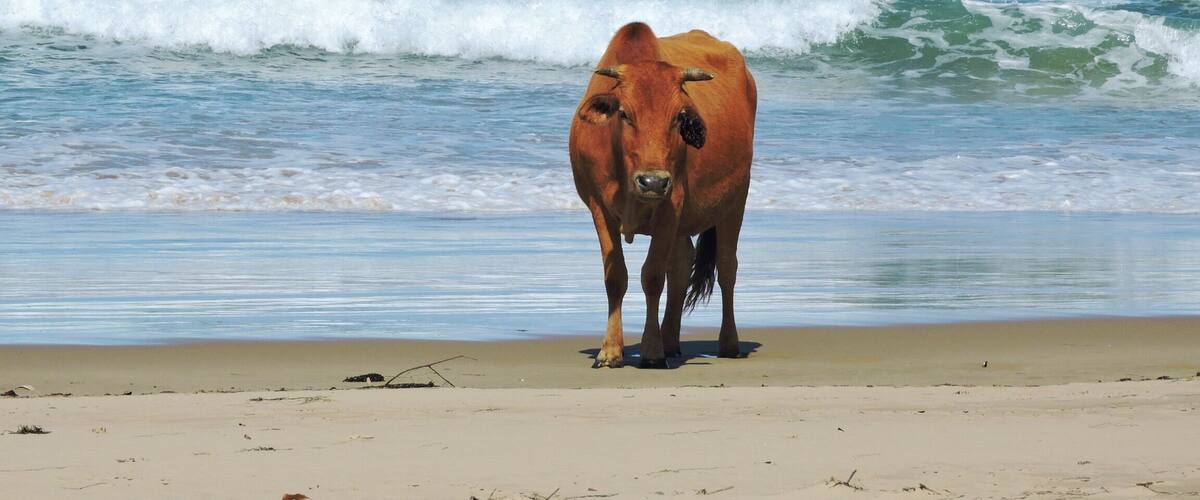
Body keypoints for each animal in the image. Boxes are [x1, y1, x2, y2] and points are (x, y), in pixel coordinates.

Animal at [569, 22, 757, 368]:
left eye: (679, 117)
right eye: (624, 114)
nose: (653, 182)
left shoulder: (672, 204)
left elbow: (653, 276)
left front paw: (652, 351)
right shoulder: (598, 207)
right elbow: (616, 276)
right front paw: (611, 351)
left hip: (736, 200)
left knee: (727, 268)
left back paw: (728, 343)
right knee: (681, 267)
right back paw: (671, 340)